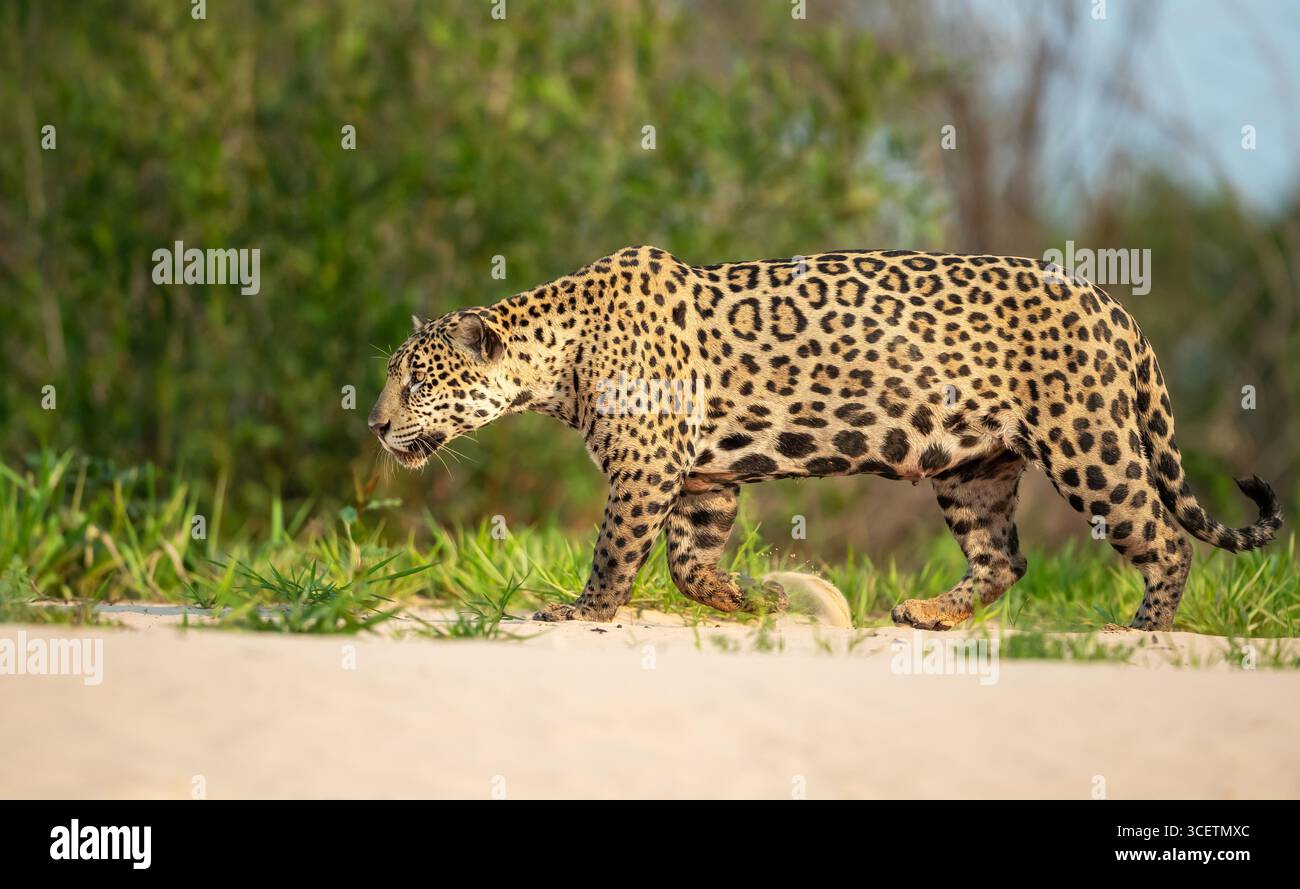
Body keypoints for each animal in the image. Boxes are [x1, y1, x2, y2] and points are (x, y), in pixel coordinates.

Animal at [368, 245, 1282, 631]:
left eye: (414, 381)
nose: (374, 423)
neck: (555, 358)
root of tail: (1115, 304)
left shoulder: (647, 466)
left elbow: (617, 549)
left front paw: (582, 610)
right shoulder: (700, 478)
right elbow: (688, 563)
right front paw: (752, 600)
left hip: (1088, 442)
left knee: (1164, 535)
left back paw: (1143, 626)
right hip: (974, 465)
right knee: (1005, 556)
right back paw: (930, 613)